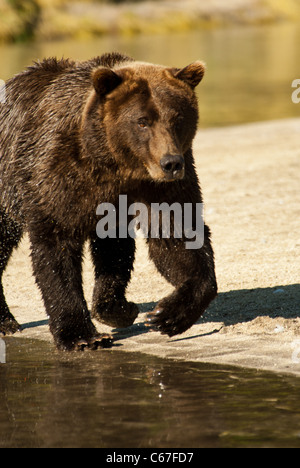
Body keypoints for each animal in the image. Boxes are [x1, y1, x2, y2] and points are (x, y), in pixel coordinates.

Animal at [1, 53, 219, 350]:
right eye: (142, 121)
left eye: (178, 118)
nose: (171, 163)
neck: (114, 164)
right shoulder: (56, 171)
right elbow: (56, 244)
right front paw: (81, 336)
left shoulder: (157, 187)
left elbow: (176, 234)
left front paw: (163, 315)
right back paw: (6, 321)